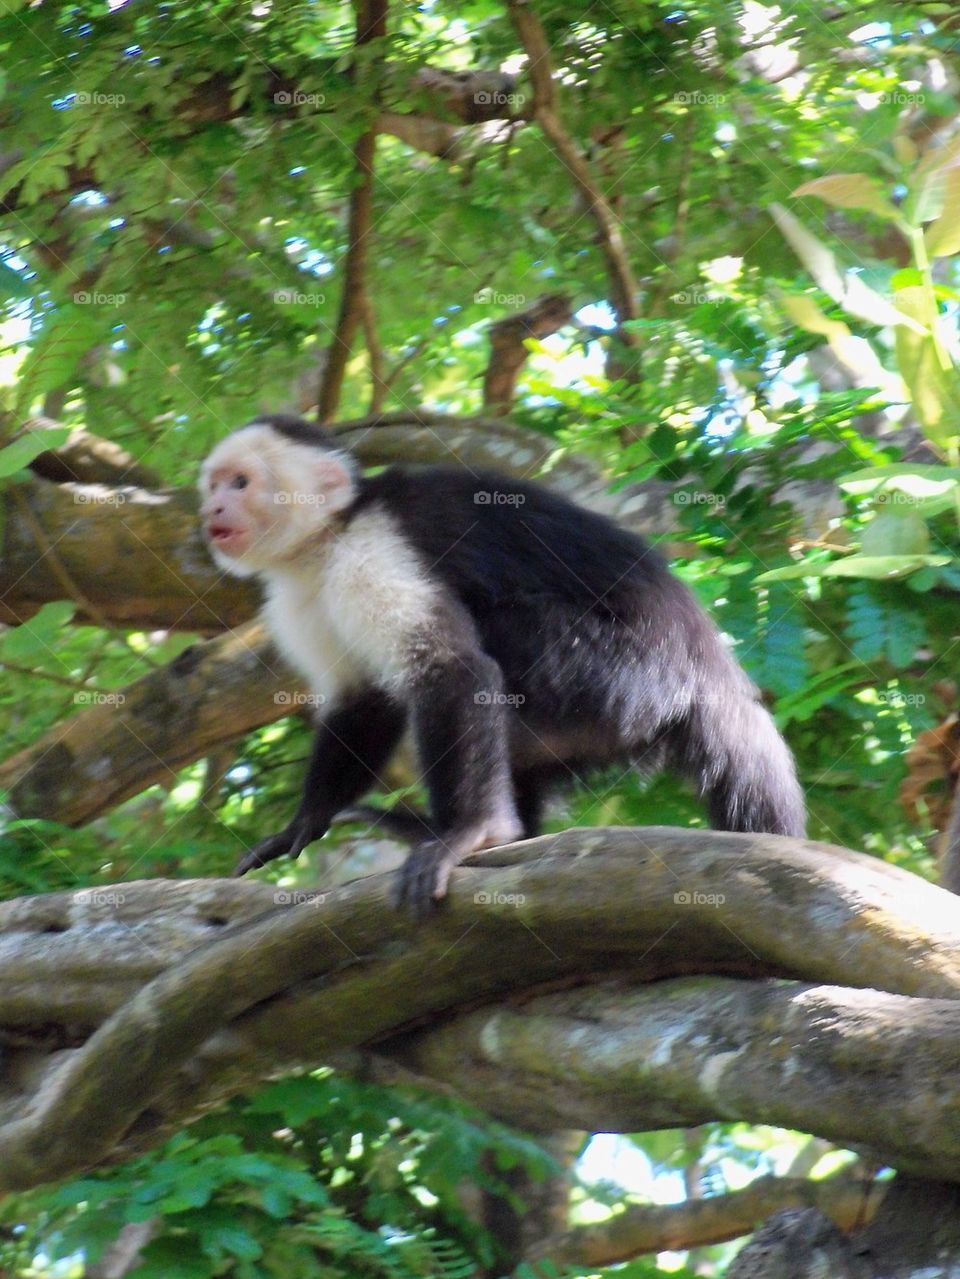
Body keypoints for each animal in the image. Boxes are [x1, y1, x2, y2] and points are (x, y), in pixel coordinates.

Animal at [200, 413, 805, 913]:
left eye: (241, 483)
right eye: (214, 484)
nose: (210, 511)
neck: (331, 535)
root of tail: (711, 671)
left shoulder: (373, 553)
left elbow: (453, 669)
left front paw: (474, 832)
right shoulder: (299, 597)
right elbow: (363, 700)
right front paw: (304, 822)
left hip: (627, 679)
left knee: (500, 632)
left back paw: (484, 831)